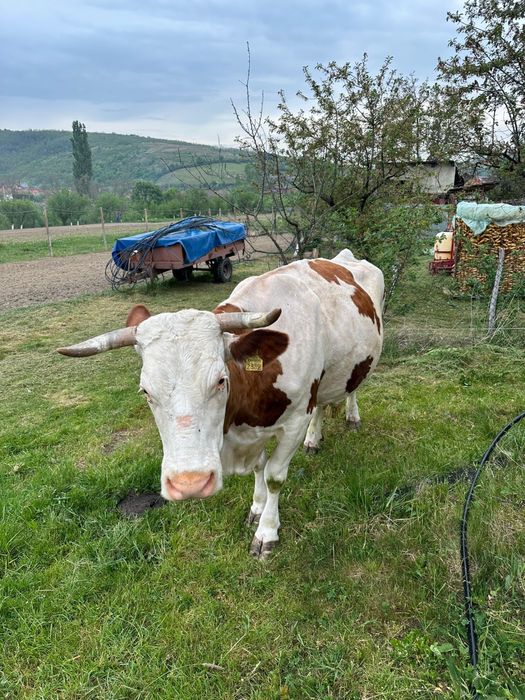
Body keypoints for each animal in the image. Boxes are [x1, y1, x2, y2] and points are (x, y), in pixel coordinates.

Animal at [58, 249, 384, 559]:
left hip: (360, 363)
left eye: (220, 380)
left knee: (352, 388)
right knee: (322, 405)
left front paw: (267, 532)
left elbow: (274, 476)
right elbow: (260, 468)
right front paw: (257, 508)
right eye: (145, 391)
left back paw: (352, 417)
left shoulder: (295, 419)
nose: (190, 483)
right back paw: (314, 439)